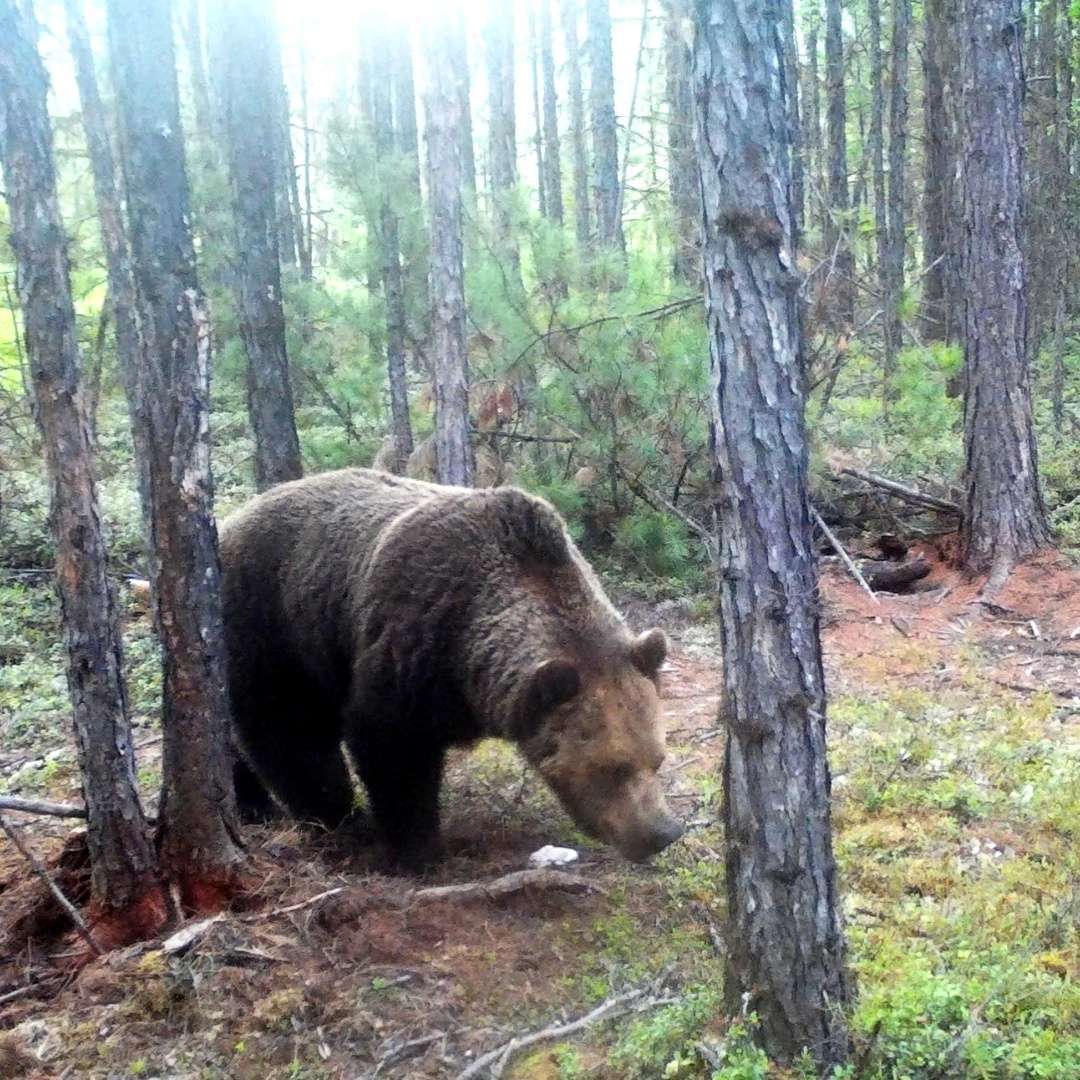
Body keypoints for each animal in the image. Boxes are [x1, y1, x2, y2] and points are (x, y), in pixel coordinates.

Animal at [219, 468, 682, 864]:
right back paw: (324, 815)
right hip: (274, 619)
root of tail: (232, 521)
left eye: (656, 758)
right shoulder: (412, 639)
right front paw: (415, 845)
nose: (661, 832)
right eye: (613, 767)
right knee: (283, 724)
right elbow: (391, 745)